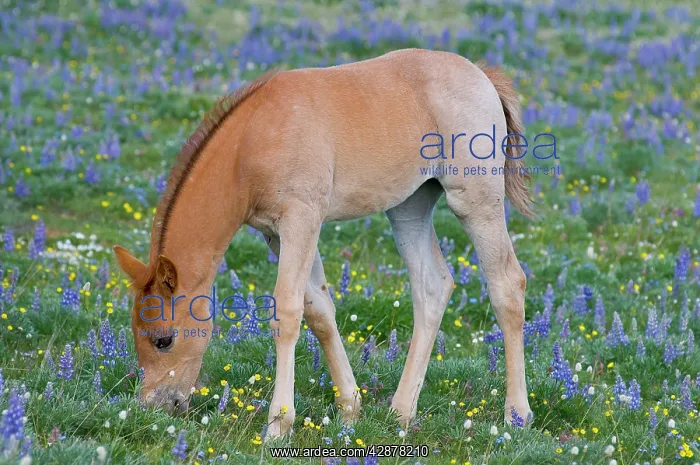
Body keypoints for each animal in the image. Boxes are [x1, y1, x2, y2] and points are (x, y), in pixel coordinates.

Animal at [113, 48, 534, 440]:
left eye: (164, 340)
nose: (154, 406)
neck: (251, 142)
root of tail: (481, 75)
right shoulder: (276, 232)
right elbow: (318, 311)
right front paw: (350, 409)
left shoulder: (301, 218)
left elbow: (287, 311)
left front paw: (279, 425)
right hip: (407, 208)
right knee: (432, 286)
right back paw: (400, 412)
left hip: (475, 200)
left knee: (507, 285)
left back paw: (517, 414)